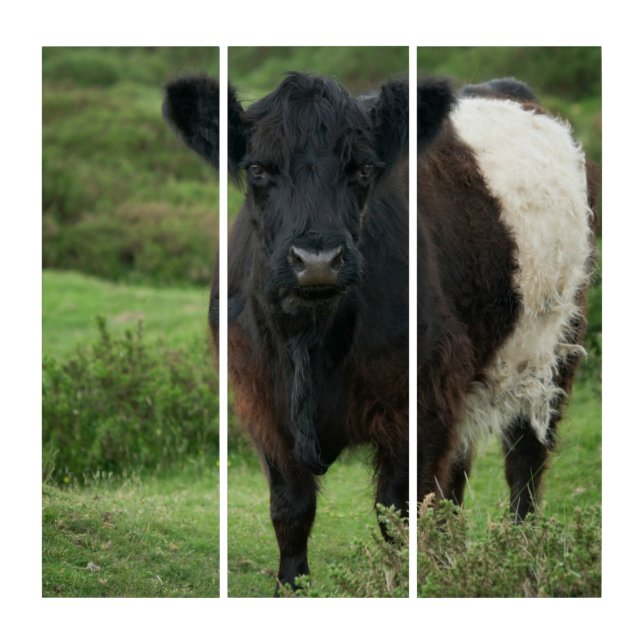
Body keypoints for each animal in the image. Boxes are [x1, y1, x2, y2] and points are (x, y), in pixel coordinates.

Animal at [162, 72, 596, 592]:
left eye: (365, 169)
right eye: (258, 169)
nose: (317, 260)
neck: (312, 339)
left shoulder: (422, 401)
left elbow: (400, 514)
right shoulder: (261, 400)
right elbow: (291, 510)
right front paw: (291, 587)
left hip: (553, 350)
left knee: (525, 462)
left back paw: (521, 557)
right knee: (458, 476)